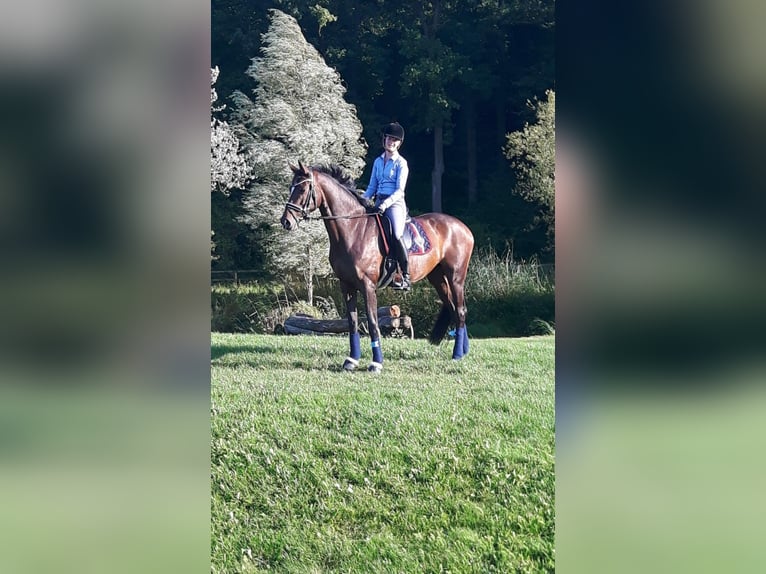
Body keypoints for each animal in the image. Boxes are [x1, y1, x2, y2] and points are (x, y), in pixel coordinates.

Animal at [280, 161, 474, 372]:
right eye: (291, 187)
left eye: (302, 189)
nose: (286, 221)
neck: (353, 230)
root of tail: (462, 227)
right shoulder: (346, 285)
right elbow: (352, 322)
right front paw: (351, 360)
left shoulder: (367, 286)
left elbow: (372, 322)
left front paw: (376, 363)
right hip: (438, 279)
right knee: (454, 309)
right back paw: (463, 351)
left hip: (456, 278)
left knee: (461, 310)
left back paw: (457, 354)